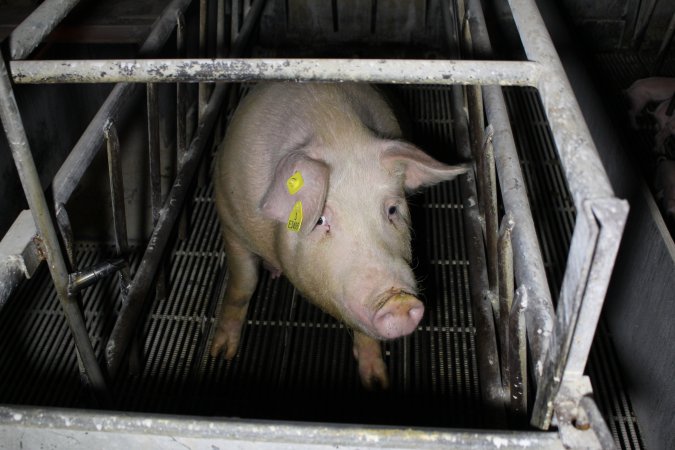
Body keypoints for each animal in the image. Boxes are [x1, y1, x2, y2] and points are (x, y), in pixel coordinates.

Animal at [211, 83, 470, 386]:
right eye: (321, 219)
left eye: (392, 209)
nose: (398, 300)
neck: (336, 129)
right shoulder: (230, 220)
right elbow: (243, 284)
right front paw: (221, 353)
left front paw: (376, 381)